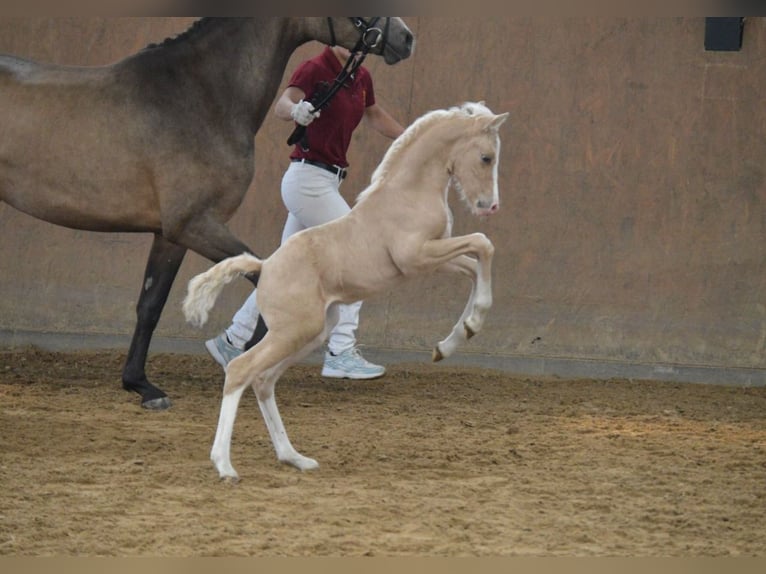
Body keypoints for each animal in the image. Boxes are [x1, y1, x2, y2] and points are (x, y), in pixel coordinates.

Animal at [0, 17, 414, 410]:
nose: (406, 38)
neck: (203, 96)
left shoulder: (171, 235)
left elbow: (150, 305)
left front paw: (141, 385)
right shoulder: (194, 224)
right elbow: (260, 276)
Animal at [183, 102, 509, 479]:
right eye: (486, 157)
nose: (489, 205)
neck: (408, 192)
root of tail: (264, 268)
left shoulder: (431, 258)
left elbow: (475, 265)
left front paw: (455, 339)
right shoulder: (416, 256)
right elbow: (483, 244)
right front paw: (467, 328)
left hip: (310, 333)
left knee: (263, 380)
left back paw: (294, 457)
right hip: (293, 332)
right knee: (240, 370)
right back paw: (224, 464)